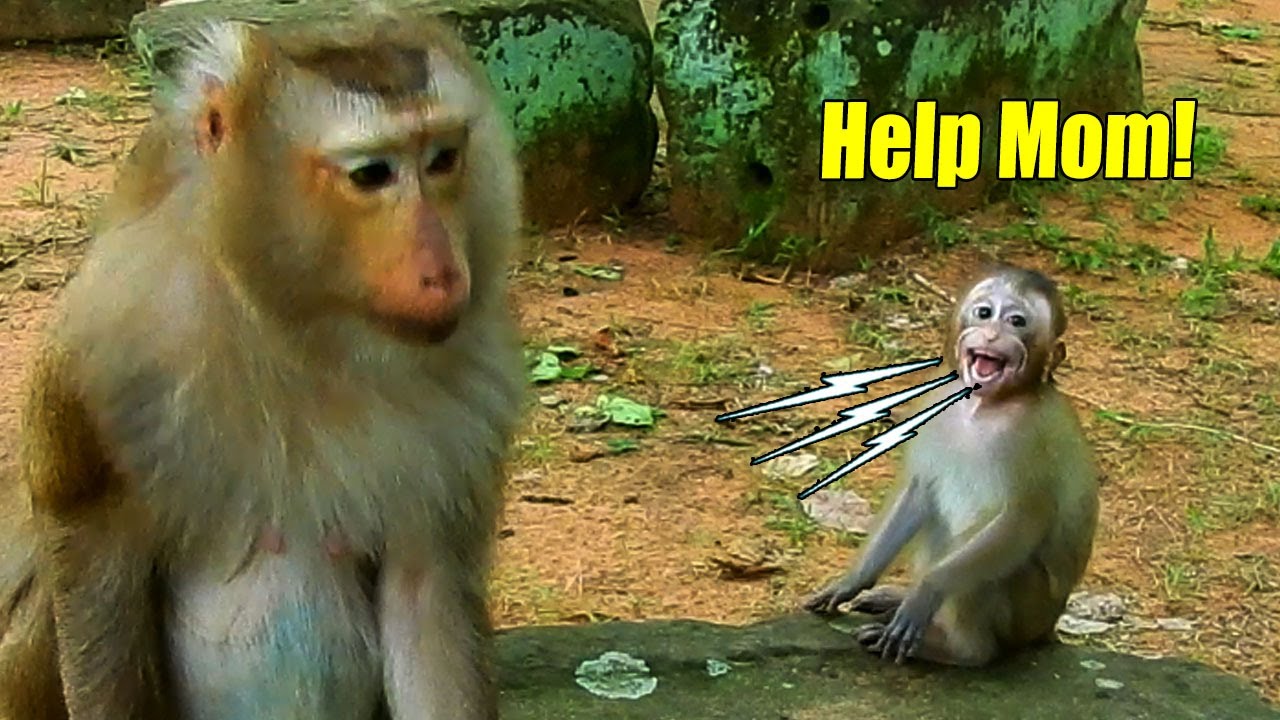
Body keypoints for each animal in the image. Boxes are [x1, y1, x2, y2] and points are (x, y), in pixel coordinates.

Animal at [0, 11, 524, 720]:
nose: (443, 271)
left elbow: (426, 591)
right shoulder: (107, 345)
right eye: (372, 174)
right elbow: (89, 545)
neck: (296, 330)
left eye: (442, 159)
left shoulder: (474, 383)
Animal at [803, 263, 1100, 668]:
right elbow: (918, 490)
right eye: (985, 312)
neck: (982, 406)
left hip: (1026, 614)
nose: (992, 334)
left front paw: (927, 591)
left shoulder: (1032, 437)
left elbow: (1021, 521)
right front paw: (852, 582)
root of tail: (1047, 628)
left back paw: (958, 648)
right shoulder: (936, 398)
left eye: (1017, 321)